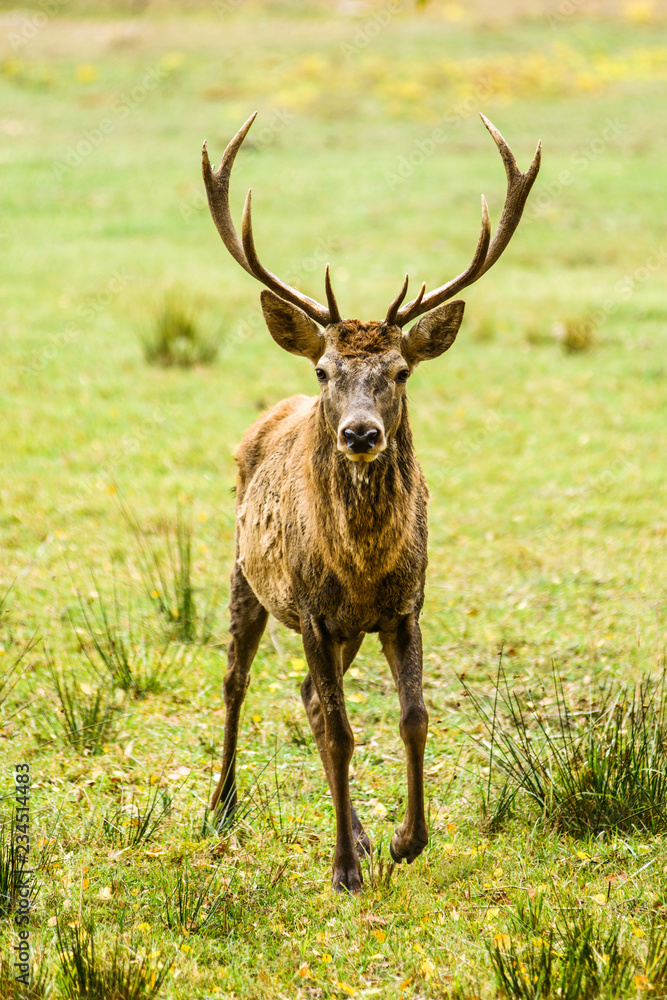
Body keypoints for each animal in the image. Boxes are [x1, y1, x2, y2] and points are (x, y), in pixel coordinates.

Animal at [202, 113, 540, 893]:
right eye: (326, 369)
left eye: (401, 370)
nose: (359, 433)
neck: (360, 565)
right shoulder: (313, 611)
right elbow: (340, 729)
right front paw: (344, 870)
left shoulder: (403, 605)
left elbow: (412, 716)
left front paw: (405, 840)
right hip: (246, 575)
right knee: (237, 680)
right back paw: (223, 804)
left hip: (342, 628)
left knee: (303, 692)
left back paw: (354, 831)